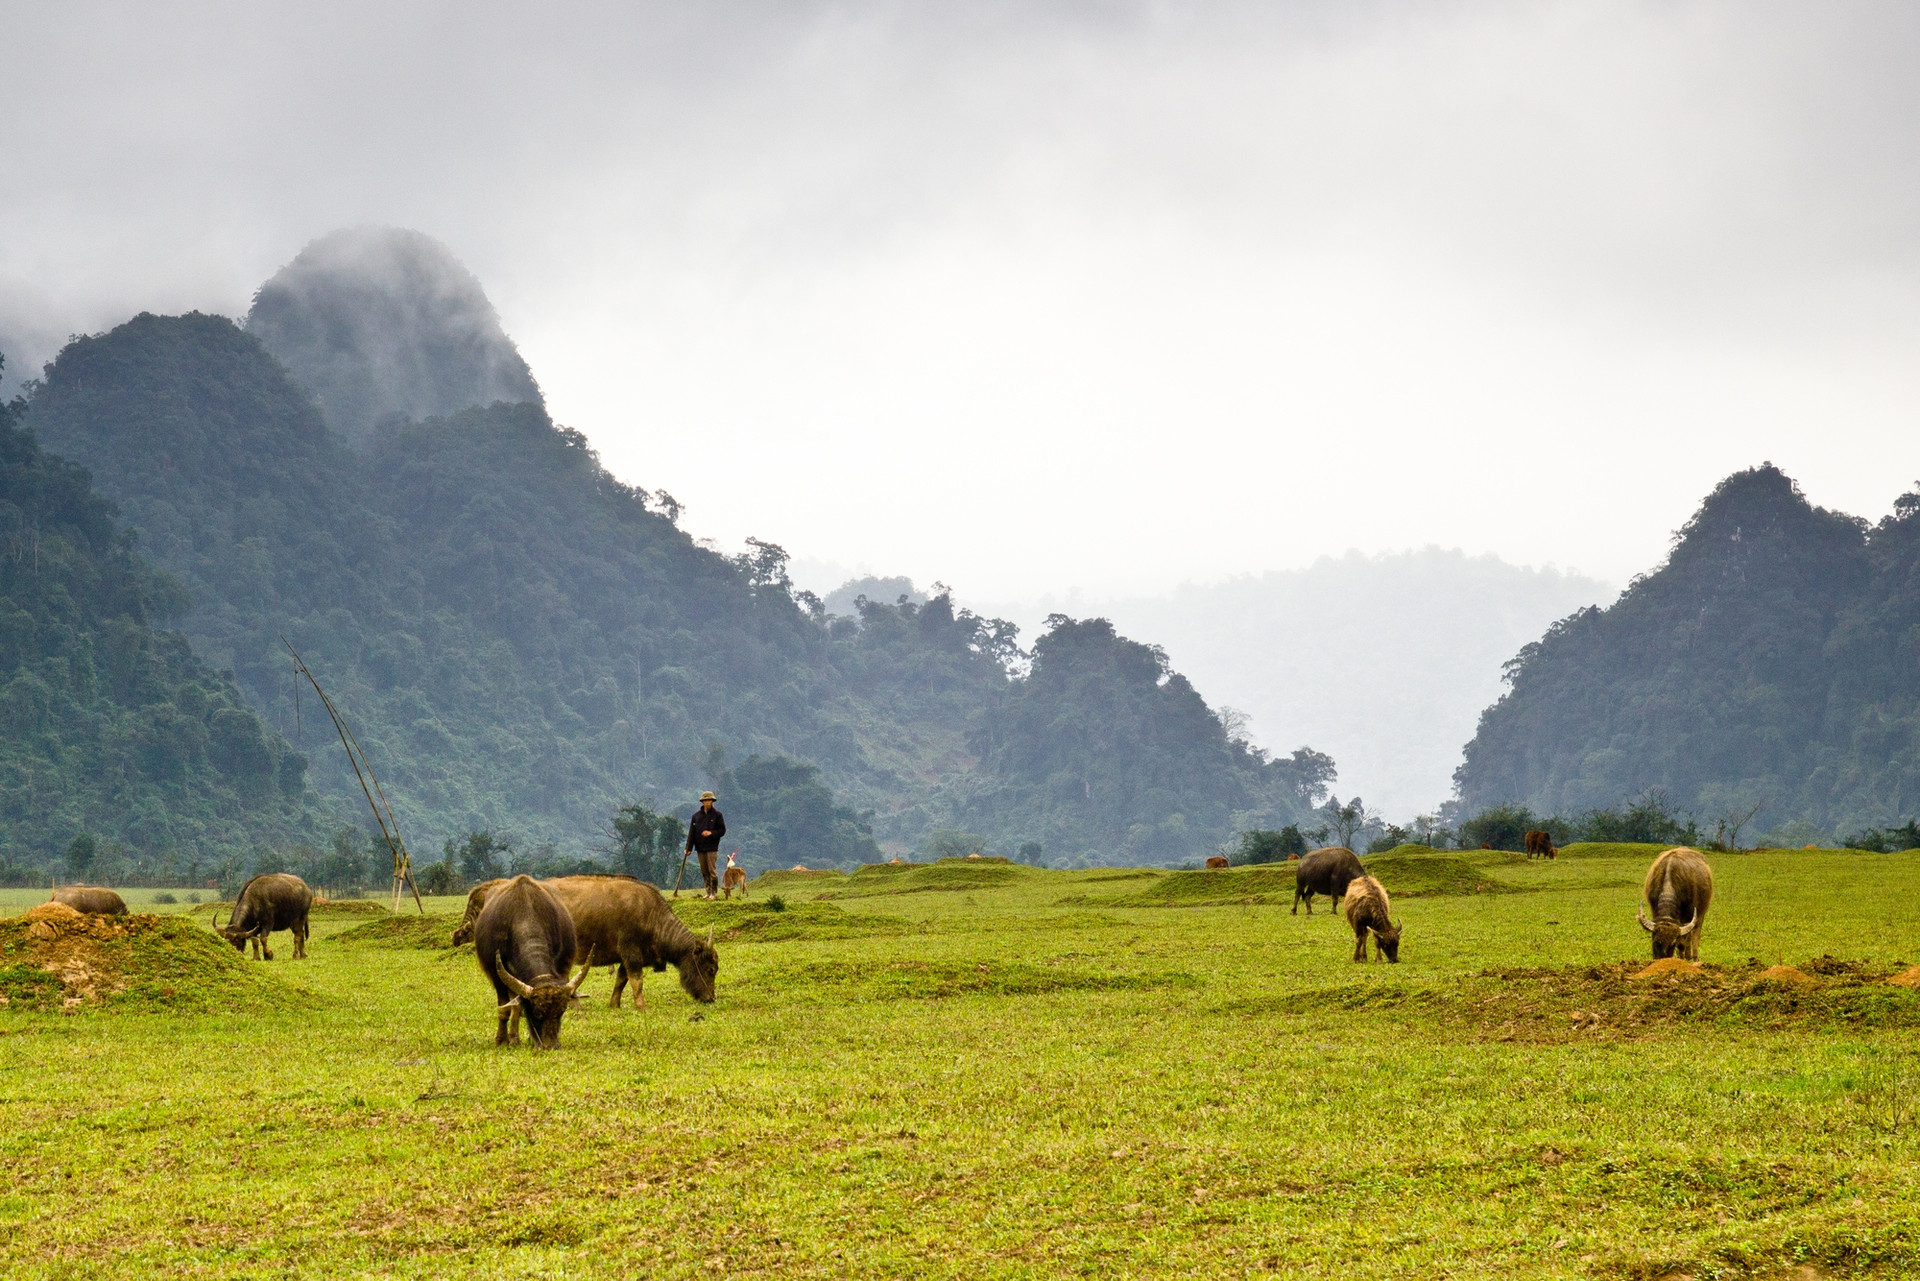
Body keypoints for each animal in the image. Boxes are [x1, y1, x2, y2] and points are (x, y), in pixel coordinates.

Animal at [474, 875, 583, 1044]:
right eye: (536, 1012)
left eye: (561, 1011)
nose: (551, 1045)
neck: (526, 918)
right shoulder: (497, 974)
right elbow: (505, 1009)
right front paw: (501, 1040)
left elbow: (517, 1007)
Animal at [541, 875, 721, 1006]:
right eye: (711, 969)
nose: (710, 998)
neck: (652, 917)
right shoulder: (631, 953)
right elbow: (636, 981)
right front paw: (642, 1006)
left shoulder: (625, 958)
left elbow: (621, 981)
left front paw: (614, 1005)